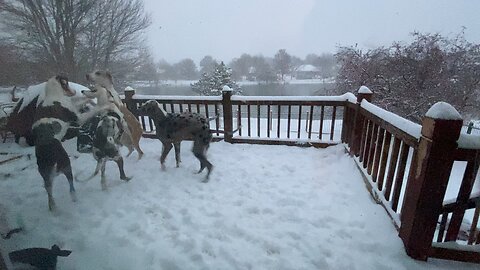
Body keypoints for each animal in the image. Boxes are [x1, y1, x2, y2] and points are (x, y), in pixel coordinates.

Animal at [33, 75, 109, 210]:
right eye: (67, 83)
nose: (74, 91)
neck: (54, 95)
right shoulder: (78, 118)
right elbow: (94, 109)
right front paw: (103, 105)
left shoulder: (73, 106)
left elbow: (81, 100)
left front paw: (88, 95)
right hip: (66, 165)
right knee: (70, 186)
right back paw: (74, 198)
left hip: (45, 174)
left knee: (49, 191)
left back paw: (53, 207)